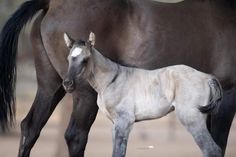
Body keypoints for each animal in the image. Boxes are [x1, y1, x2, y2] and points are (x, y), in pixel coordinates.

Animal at [0, 0, 235, 157]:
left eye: (83, 59)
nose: (69, 81)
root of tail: (52, 4)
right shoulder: (228, 95)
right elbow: (219, 143)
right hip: (82, 94)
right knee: (75, 136)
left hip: (51, 87)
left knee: (30, 128)